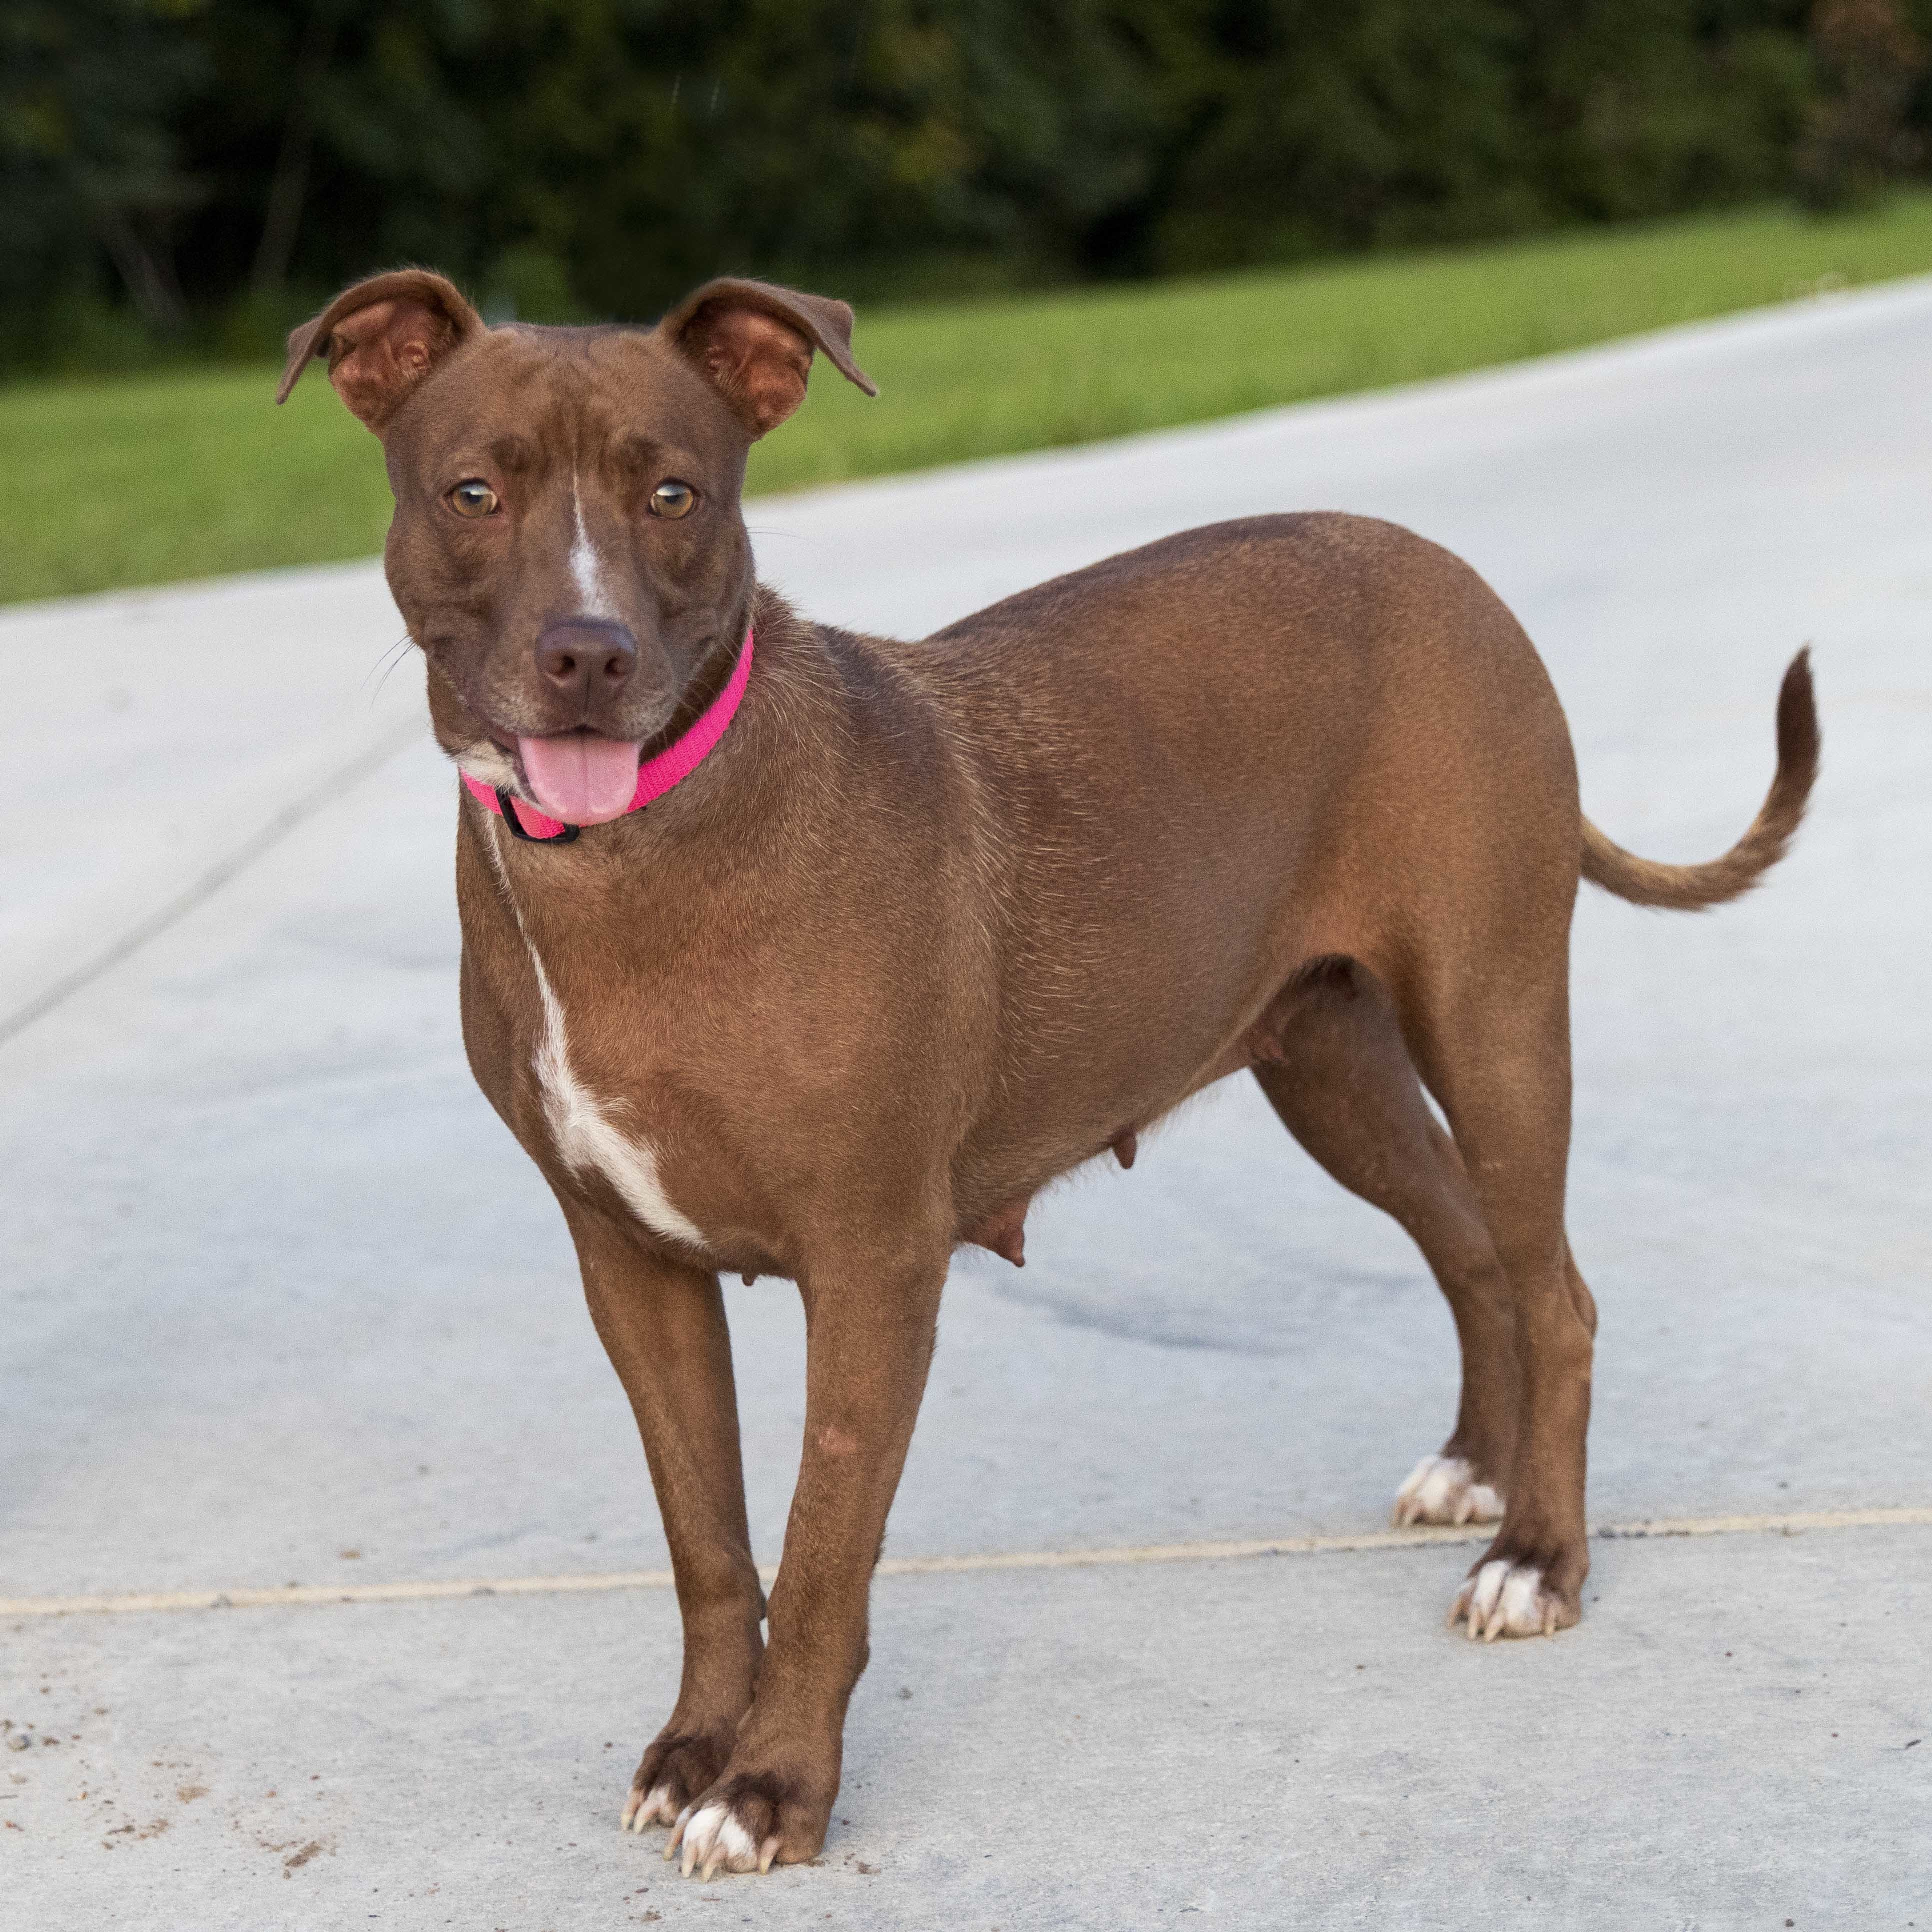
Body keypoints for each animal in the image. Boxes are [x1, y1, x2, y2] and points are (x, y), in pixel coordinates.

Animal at [280, 268, 1816, 1870]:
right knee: (1471, 1251)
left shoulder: (873, 1263)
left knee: (1556, 1289)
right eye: (472, 491)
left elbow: (820, 1545)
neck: (634, 845)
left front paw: (770, 1785)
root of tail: (1443, 567)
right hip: (1327, 1066)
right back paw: (1478, 1467)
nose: (589, 655)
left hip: (1494, 1017)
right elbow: (707, 1538)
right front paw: (698, 1742)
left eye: (673, 492)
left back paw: (1539, 1556)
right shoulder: (628, 1264)